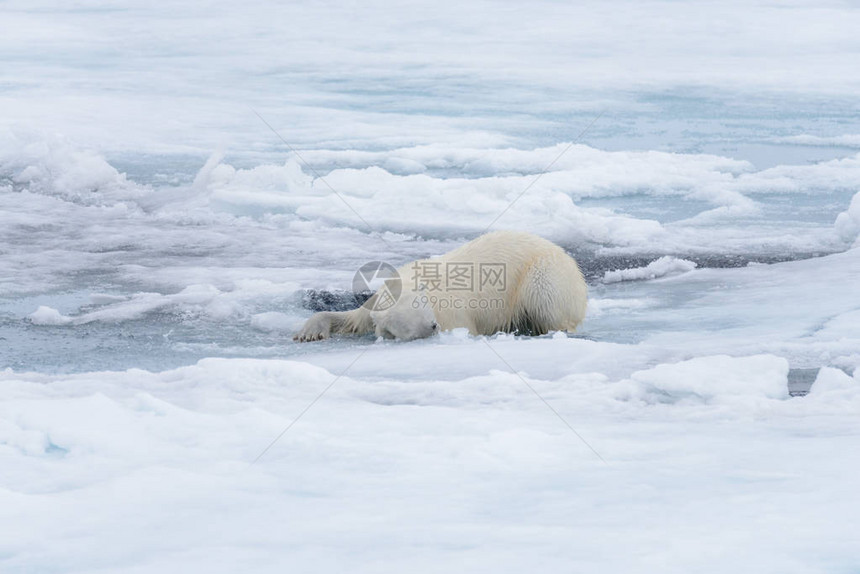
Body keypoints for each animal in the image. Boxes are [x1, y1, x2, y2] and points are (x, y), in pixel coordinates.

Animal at [294, 232, 584, 344]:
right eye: (406, 324)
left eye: (426, 313)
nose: (433, 328)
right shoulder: (376, 302)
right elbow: (353, 319)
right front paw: (309, 332)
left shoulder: (452, 312)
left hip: (545, 274)